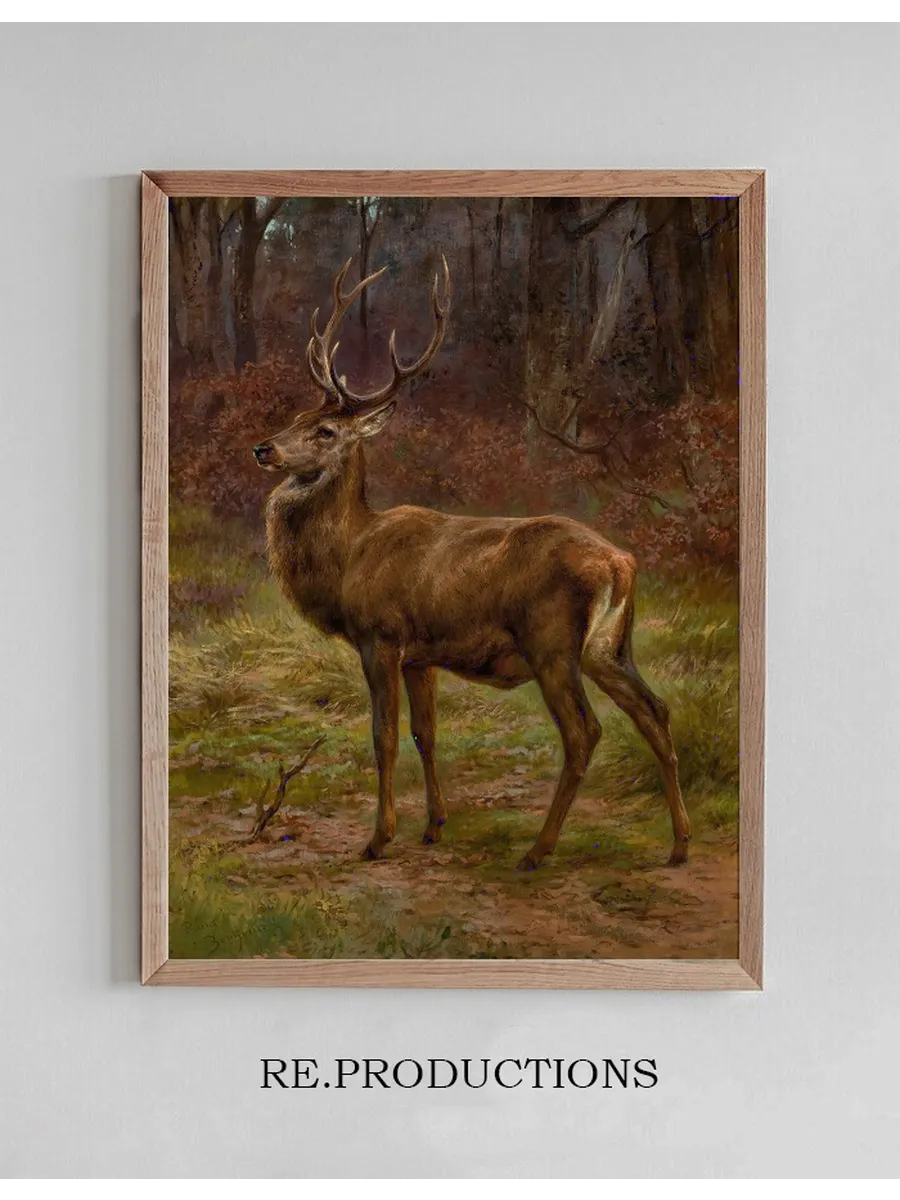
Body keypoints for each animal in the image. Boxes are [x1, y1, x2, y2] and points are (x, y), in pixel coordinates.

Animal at [253, 256, 691, 871]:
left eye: (326, 430)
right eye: (296, 415)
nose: (263, 448)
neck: (349, 559)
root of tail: (621, 561)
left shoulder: (380, 636)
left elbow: (383, 737)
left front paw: (379, 838)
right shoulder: (420, 655)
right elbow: (425, 734)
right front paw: (434, 826)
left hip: (552, 642)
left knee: (584, 732)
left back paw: (538, 850)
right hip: (610, 646)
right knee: (655, 711)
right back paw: (679, 844)